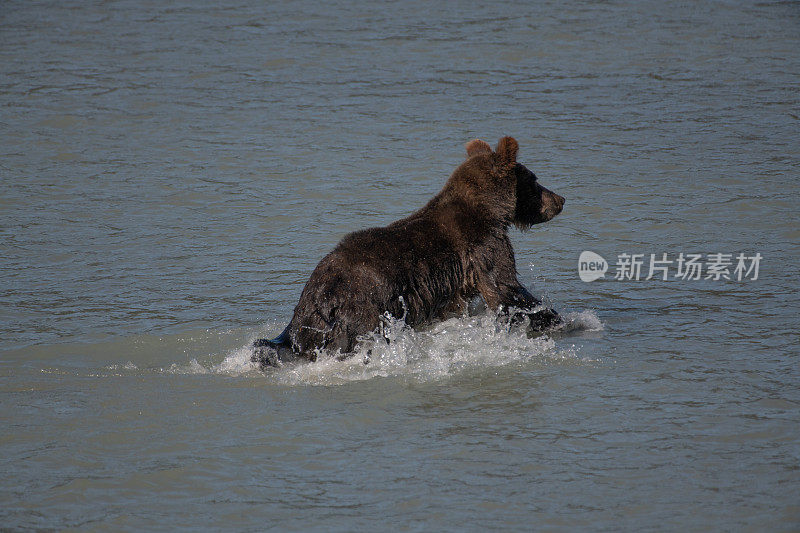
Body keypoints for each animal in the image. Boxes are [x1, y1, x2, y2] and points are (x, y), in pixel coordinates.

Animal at [253, 135, 564, 368]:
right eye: (534, 180)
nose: (560, 200)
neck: (491, 210)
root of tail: (318, 292)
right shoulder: (482, 247)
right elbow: (505, 288)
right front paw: (553, 318)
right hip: (361, 311)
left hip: (308, 324)